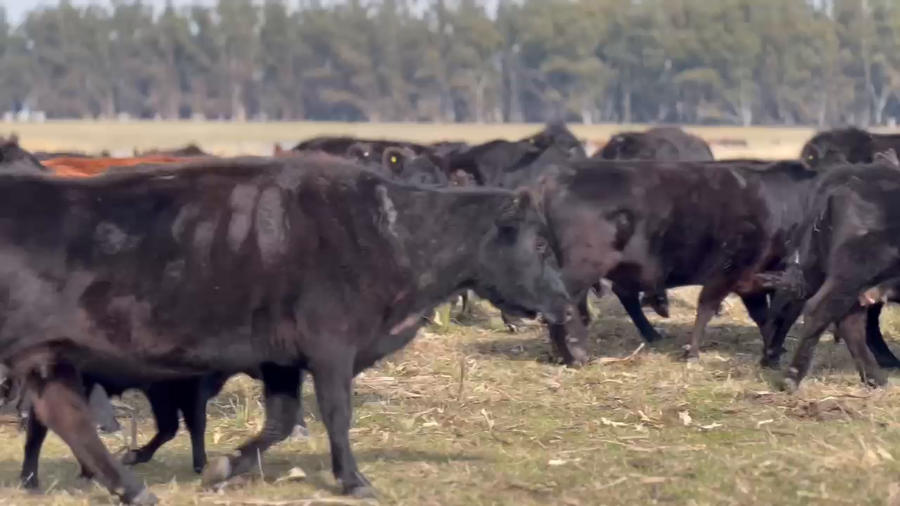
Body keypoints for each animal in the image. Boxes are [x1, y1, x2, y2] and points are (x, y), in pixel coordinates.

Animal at [0, 155, 571, 504]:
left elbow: (280, 421)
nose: (565, 302)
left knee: (64, 416)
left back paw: (130, 486)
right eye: (541, 243)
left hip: (48, 358)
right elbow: (336, 415)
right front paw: (354, 480)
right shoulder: (331, 349)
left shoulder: (280, 360)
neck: (388, 230)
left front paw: (223, 468)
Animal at [532, 159, 821, 365]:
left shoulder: (750, 281)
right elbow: (707, 307)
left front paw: (771, 353)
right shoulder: (727, 271)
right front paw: (692, 353)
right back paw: (573, 355)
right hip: (584, 269)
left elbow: (762, 318)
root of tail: (554, 179)